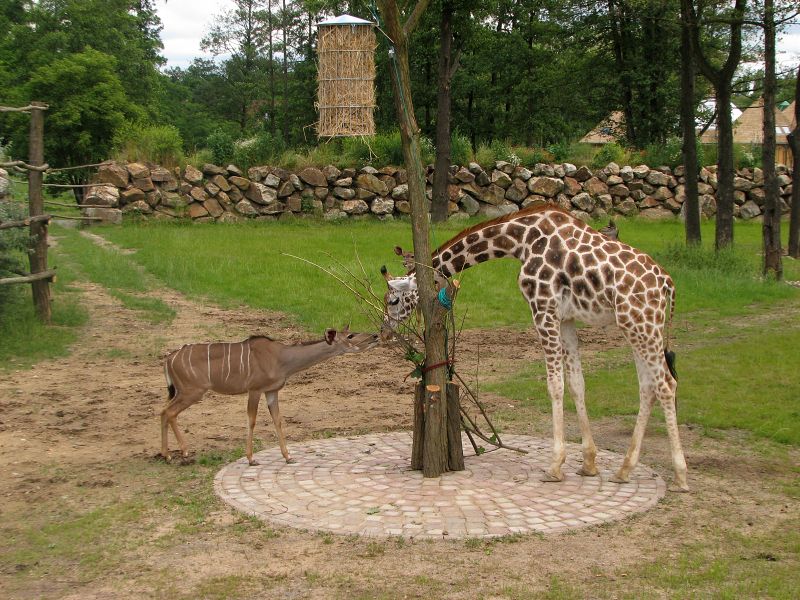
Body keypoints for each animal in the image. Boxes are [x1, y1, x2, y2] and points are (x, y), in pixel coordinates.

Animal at [381, 204, 689, 492]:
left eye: (393, 301)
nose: (383, 332)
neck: (520, 240)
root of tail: (668, 285)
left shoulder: (542, 308)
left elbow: (555, 385)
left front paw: (555, 467)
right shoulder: (565, 318)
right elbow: (576, 383)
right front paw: (589, 463)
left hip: (641, 324)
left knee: (666, 384)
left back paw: (680, 476)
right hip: (637, 327)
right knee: (648, 387)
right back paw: (624, 470)